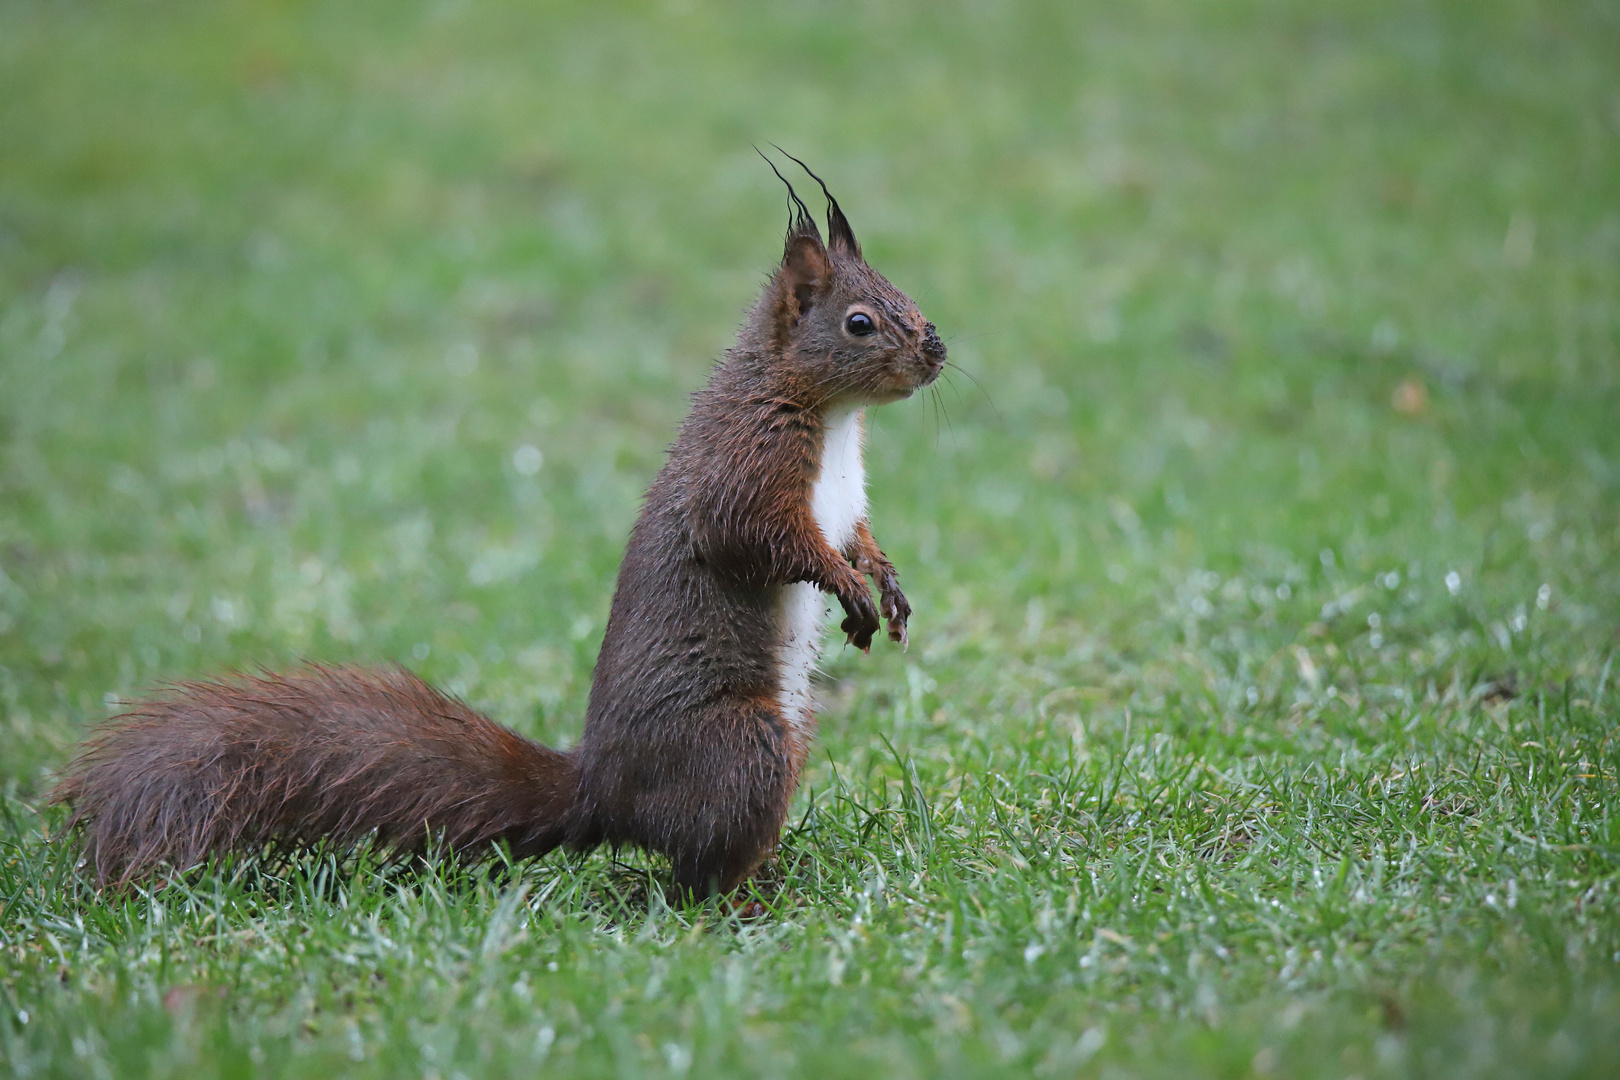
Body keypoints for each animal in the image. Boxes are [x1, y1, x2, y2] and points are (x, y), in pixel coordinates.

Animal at [53, 158, 946, 906]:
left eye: (906, 295)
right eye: (861, 323)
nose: (937, 352)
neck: (832, 419)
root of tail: (602, 794)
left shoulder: (843, 499)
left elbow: (857, 534)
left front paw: (886, 583)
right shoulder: (745, 466)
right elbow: (757, 539)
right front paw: (845, 585)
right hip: (744, 742)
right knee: (690, 873)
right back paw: (745, 900)